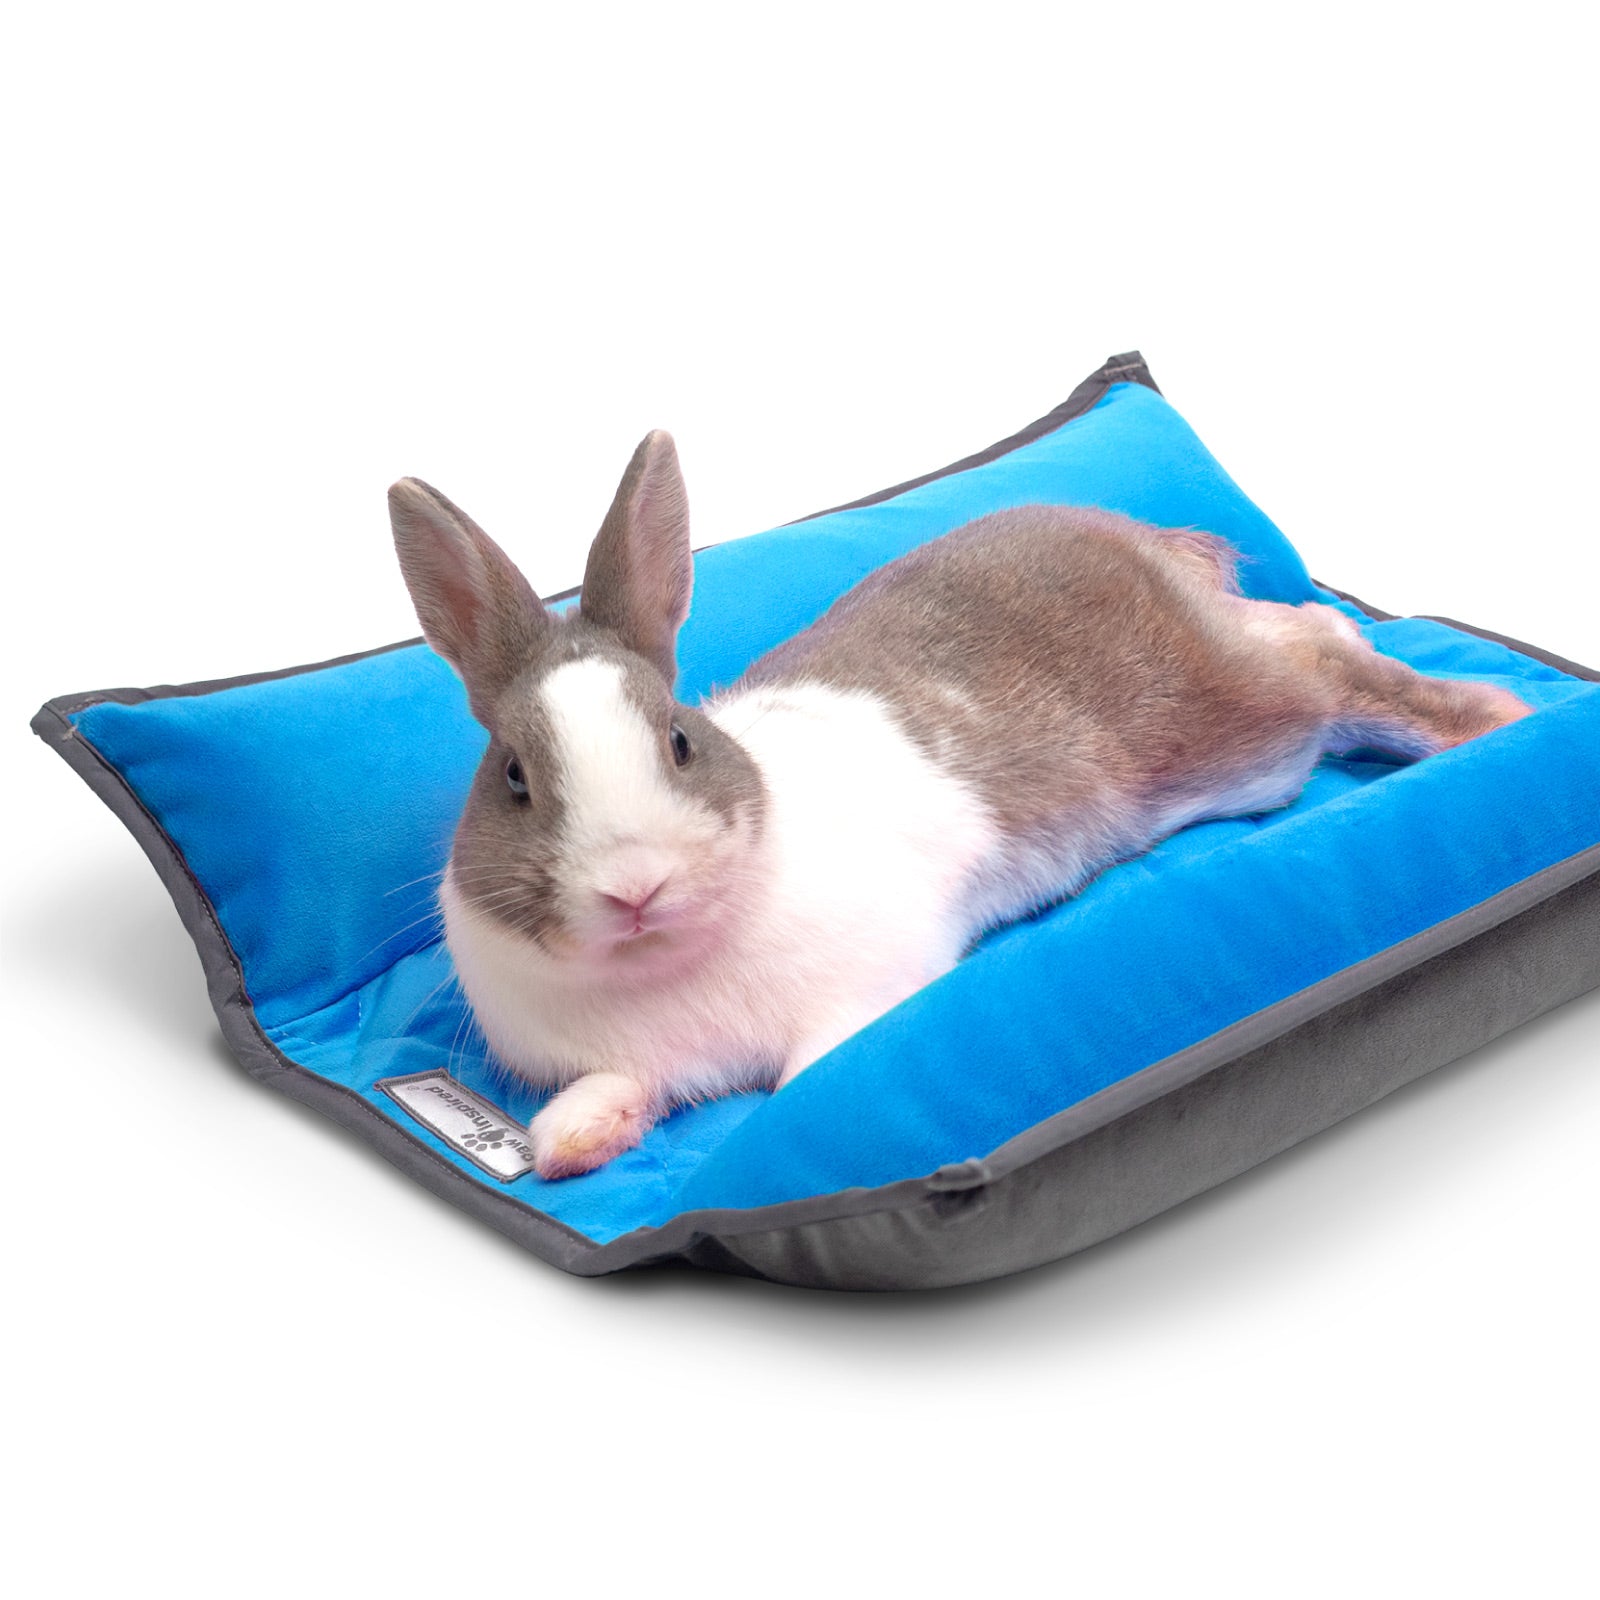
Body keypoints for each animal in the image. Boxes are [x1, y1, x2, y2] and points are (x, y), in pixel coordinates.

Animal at [388, 432, 1531, 1178]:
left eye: (677, 739)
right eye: (513, 777)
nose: (634, 885)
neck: (662, 964)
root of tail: (1142, 543)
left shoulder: (866, 992)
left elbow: (805, 1083)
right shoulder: (627, 1061)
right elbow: (592, 1104)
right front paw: (573, 1145)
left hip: (1253, 738)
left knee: (1331, 669)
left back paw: (1497, 716)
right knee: (1311, 628)